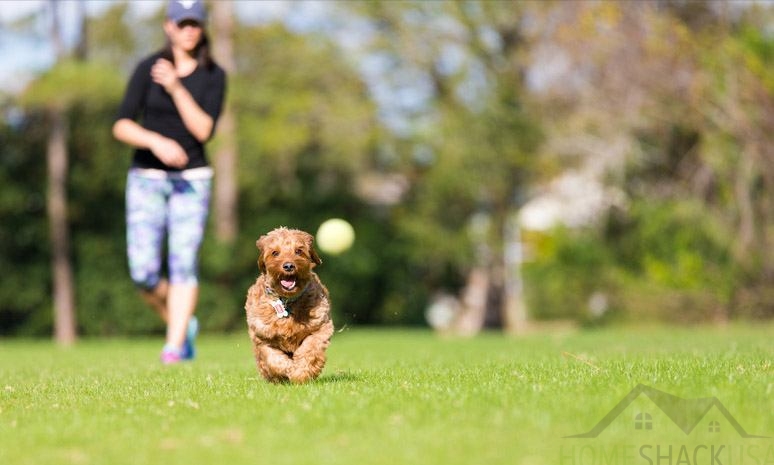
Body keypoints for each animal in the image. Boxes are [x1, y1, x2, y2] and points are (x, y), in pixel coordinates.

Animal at [246, 227, 334, 382]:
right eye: (275, 252)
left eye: (298, 251)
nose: (288, 266)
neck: (286, 301)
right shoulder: (262, 337)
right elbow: (273, 360)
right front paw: (288, 369)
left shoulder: (321, 328)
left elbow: (310, 349)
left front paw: (300, 373)